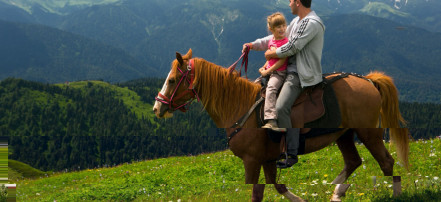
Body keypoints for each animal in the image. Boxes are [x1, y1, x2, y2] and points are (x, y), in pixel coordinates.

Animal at [154, 49, 410, 202]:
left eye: (172, 80)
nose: (157, 108)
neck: (240, 106)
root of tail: (368, 80)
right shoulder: (267, 158)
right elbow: (277, 185)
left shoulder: (252, 160)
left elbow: (256, 192)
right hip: (344, 134)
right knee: (353, 162)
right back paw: (336, 193)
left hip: (368, 133)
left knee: (386, 162)